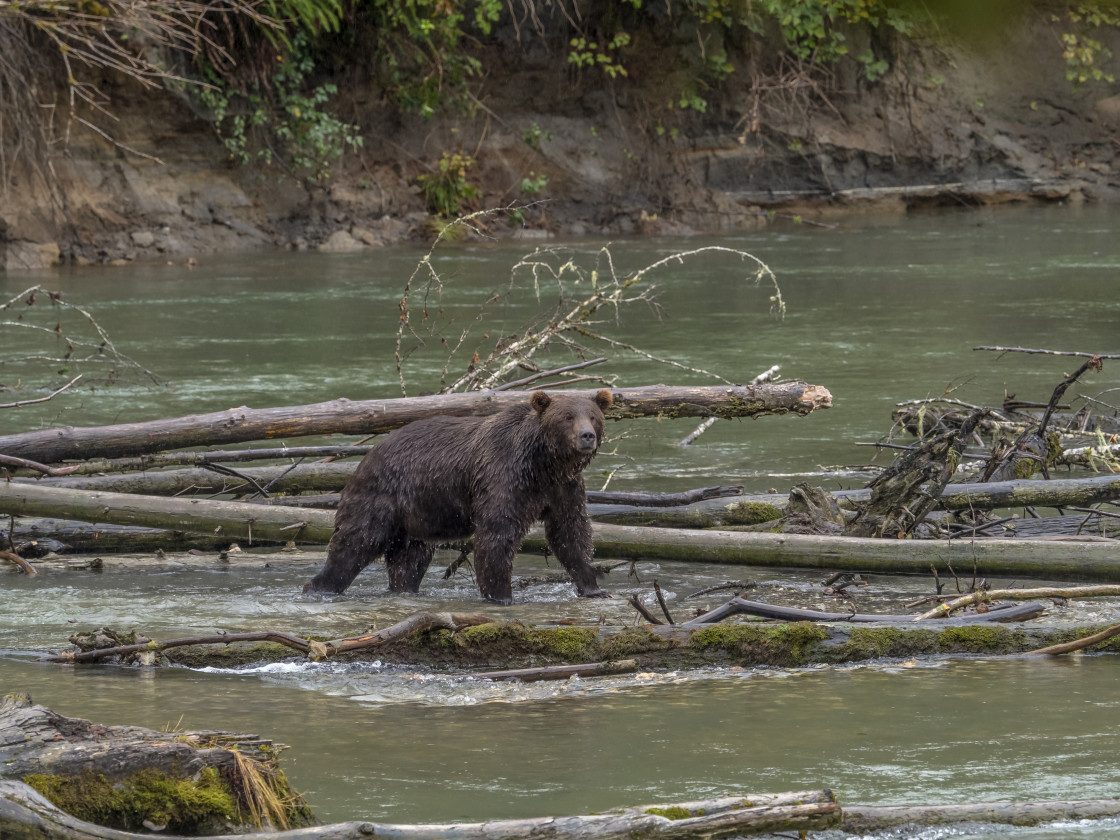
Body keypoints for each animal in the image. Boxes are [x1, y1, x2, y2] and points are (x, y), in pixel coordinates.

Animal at [302, 392, 613, 600]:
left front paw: (593, 587)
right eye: (567, 417)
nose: (586, 435)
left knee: (409, 562)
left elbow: (570, 533)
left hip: (417, 517)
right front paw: (500, 594)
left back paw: (404, 590)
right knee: (355, 544)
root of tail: (366, 456)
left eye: (593, 416)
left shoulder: (564, 489)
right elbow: (497, 536)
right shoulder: (503, 478)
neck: (545, 463)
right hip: (381, 497)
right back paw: (318, 587)